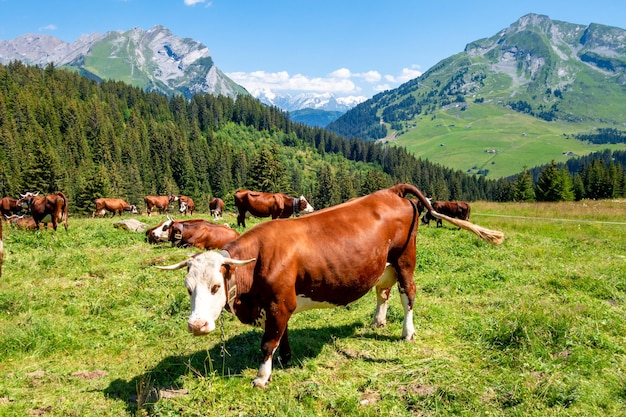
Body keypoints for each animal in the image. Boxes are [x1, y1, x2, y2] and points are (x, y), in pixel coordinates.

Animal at [157, 182, 502, 386]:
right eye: (188, 288)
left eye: (216, 286)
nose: (197, 326)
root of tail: (390, 191)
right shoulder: (280, 304)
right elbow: (282, 335)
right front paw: (285, 359)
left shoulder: (279, 303)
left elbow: (268, 342)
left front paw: (262, 377)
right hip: (383, 264)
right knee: (383, 291)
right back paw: (378, 321)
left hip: (406, 259)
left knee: (408, 295)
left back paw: (407, 332)